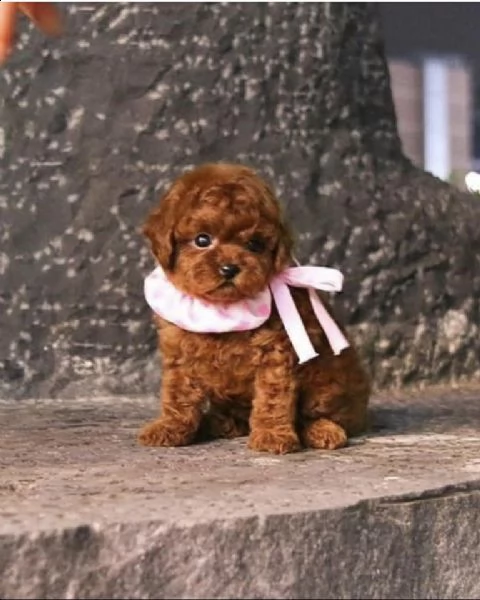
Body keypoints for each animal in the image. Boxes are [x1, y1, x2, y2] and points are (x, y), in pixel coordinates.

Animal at [139, 162, 372, 452]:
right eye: (202, 240)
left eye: (254, 245)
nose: (229, 268)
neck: (223, 307)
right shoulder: (179, 353)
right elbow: (178, 394)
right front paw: (169, 427)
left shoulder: (275, 354)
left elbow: (272, 398)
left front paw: (272, 435)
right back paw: (221, 422)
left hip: (328, 382)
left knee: (330, 415)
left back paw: (323, 430)